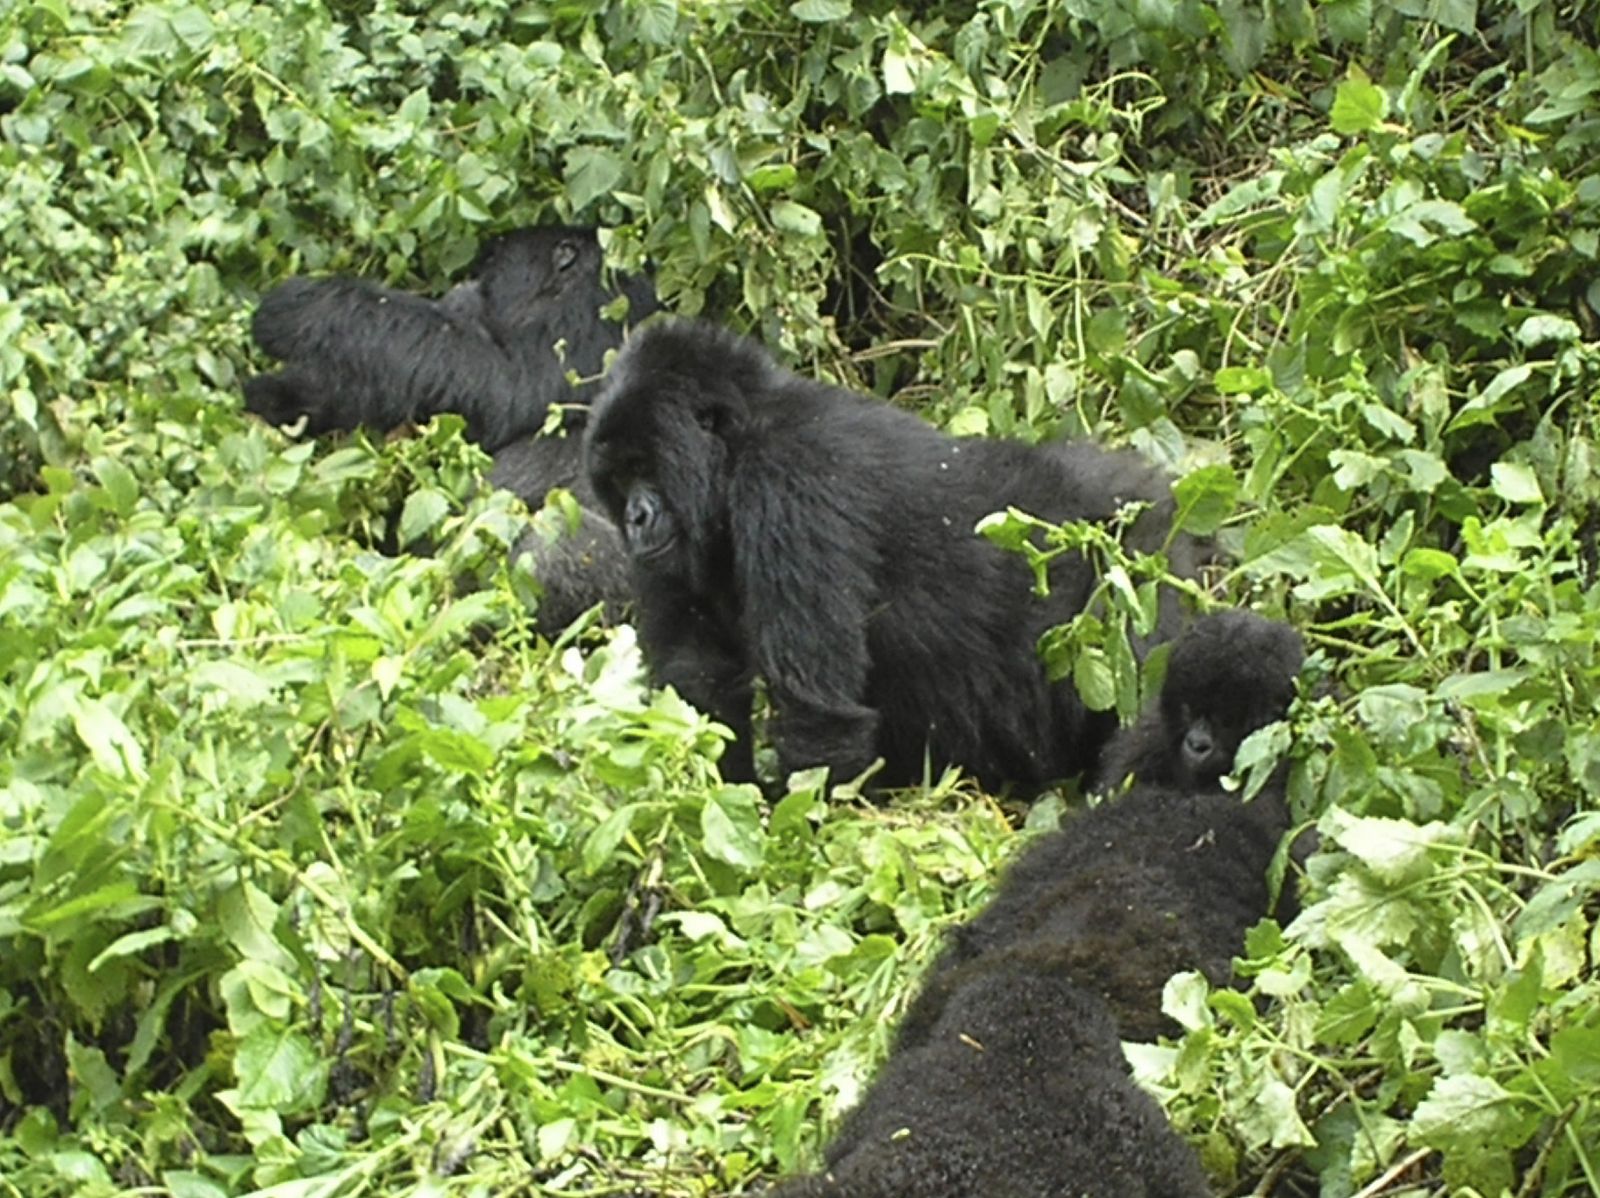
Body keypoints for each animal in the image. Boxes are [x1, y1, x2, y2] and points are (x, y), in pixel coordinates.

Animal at [243, 227, 656, 630]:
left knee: (555, 546)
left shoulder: (586, 316)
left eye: (487, 269)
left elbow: (498, 380)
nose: (459, 287)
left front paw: (306, 306)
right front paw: (279, 396)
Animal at [585, 315, 1203, 793]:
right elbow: (698, 685)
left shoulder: (791, 480)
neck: (741, 439)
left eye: (643, 466)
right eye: (618, 478)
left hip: (1139, 569)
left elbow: (819, 716)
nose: (636, 519)